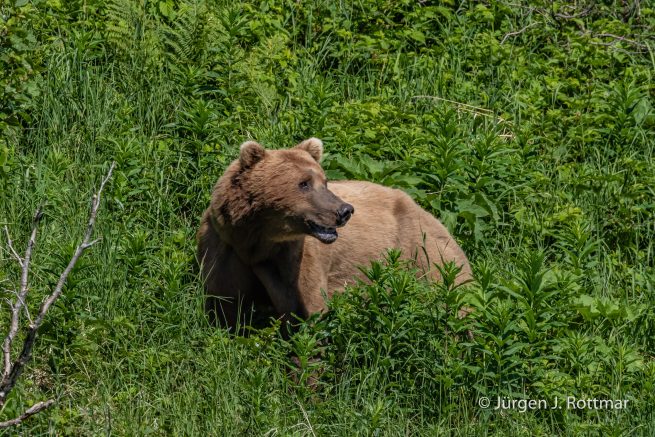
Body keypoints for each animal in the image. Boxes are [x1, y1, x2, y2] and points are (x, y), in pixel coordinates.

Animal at [197, 138, 472, 330]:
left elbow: (307, 311)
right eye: (304, 183)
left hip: (422, 250)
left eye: (324, 181)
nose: (344, 210)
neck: (257, 241)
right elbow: (225, 306)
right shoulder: (223, 247)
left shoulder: (295, 258)